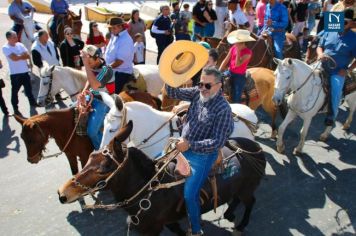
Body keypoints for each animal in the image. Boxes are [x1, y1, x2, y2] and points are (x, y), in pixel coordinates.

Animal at [57, 121, 264, 236]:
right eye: (90, 156)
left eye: (103, 170)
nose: (62, 193)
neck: (148, 189)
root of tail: (255, 148)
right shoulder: (166, 222)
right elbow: (176, 229)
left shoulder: (152, 230)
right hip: (238, 188)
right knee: (236, 199)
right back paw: (229, 214)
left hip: (247, 189)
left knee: (251, 202)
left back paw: (241, 224)